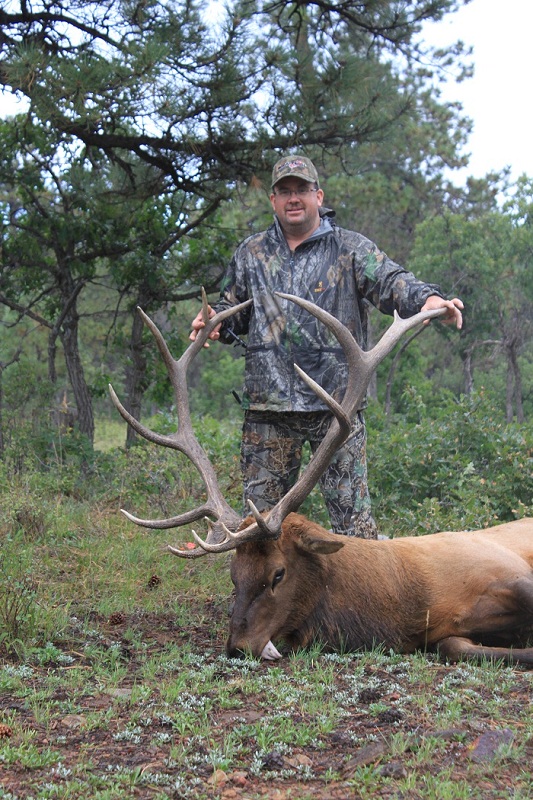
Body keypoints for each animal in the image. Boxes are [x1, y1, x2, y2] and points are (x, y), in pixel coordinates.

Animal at [109, 292, 533, 667]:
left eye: (278, 573)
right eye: (233, 575)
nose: (237, 647)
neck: (410, 603)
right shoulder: (441, 633)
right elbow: (455, 647)